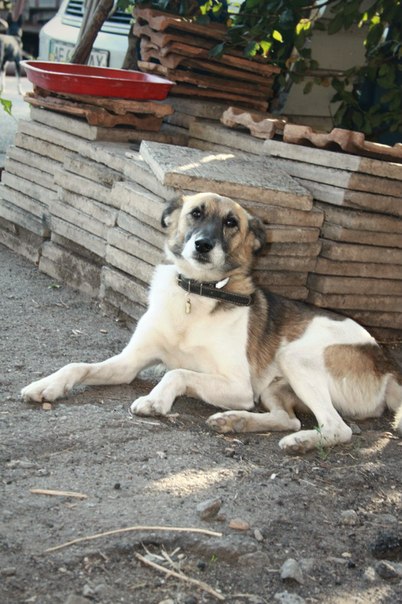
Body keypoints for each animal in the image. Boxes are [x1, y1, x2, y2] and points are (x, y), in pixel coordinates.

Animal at [21, 193, 402, 452]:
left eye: (231, 223)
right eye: (195, 214)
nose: (203, 245)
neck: (197, 293)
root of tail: (386, 363)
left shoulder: (238, 386)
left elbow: (177, 372)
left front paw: (156, 400)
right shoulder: (130, 363)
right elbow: (77, 365)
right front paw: (47, 385)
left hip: (294, 359)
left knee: (338, 428)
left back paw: (301, 441)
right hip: (274, 387)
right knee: (288, 417)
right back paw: (235, 421)